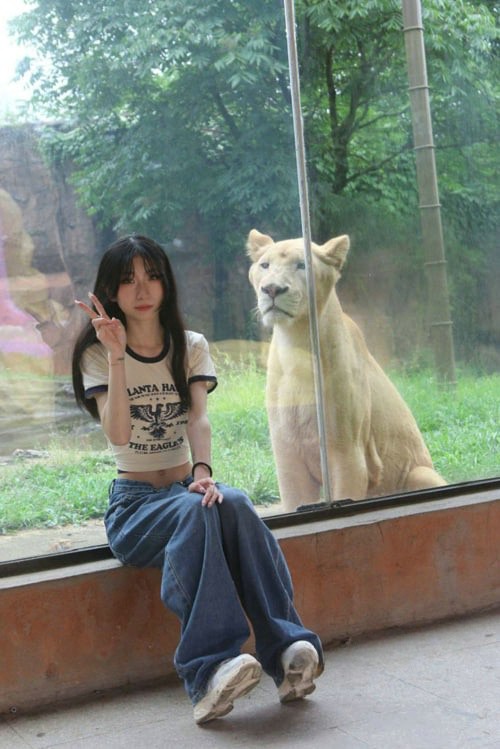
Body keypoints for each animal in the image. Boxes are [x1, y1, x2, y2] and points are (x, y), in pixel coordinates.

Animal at [247, 228, 446, 512]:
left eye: (301, 265)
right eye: (265, 265)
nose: (272, 288)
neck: (296, 342)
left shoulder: (348, 453)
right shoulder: (288, 454)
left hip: (420, 473)